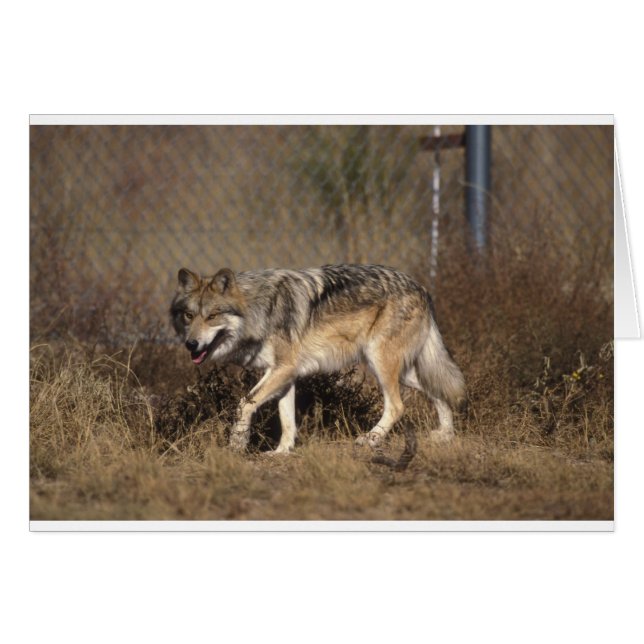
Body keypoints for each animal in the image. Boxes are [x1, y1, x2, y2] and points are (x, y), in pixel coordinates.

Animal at [170, 264, 465, 465]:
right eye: (189, 316)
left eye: (212, 316)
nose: (191, 344)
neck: (258, 309)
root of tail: (421, 287)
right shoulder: (284, 375)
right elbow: (287, 420)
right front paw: (282, 452)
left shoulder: (283, 369)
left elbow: (244, 403)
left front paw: (237, 444)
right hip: (403, 371)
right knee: (439, 390)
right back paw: (445, 435)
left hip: (380, 364)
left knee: (398, 406)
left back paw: (370, 439)